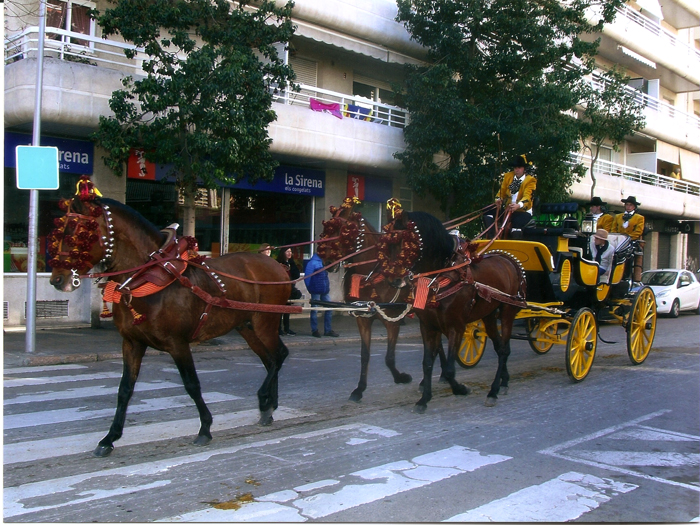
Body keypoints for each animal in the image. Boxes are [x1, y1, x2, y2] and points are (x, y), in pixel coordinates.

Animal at [318, 200, 448, 402]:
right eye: (327, 229)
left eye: (341, 230)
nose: (326, 261)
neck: (369, 275)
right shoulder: (363, 319)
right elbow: (365, 355)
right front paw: (359, 389)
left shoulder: (392, 320)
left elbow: (389, 357)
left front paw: (400, 377)